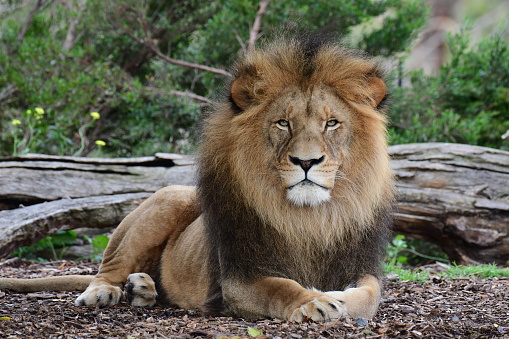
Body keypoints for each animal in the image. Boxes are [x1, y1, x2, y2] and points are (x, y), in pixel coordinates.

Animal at [0, 32, 392, 324]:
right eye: (283, 123)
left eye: (331, 123)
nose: (306, 161)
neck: (311, 218)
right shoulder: (239, 278)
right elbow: (282, 288)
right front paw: (314, 301)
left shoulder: (363, 266)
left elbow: (367, 297)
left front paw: (334, 296)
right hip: (168, 199)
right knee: (108, 267)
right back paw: (104, 292)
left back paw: (142, 288)